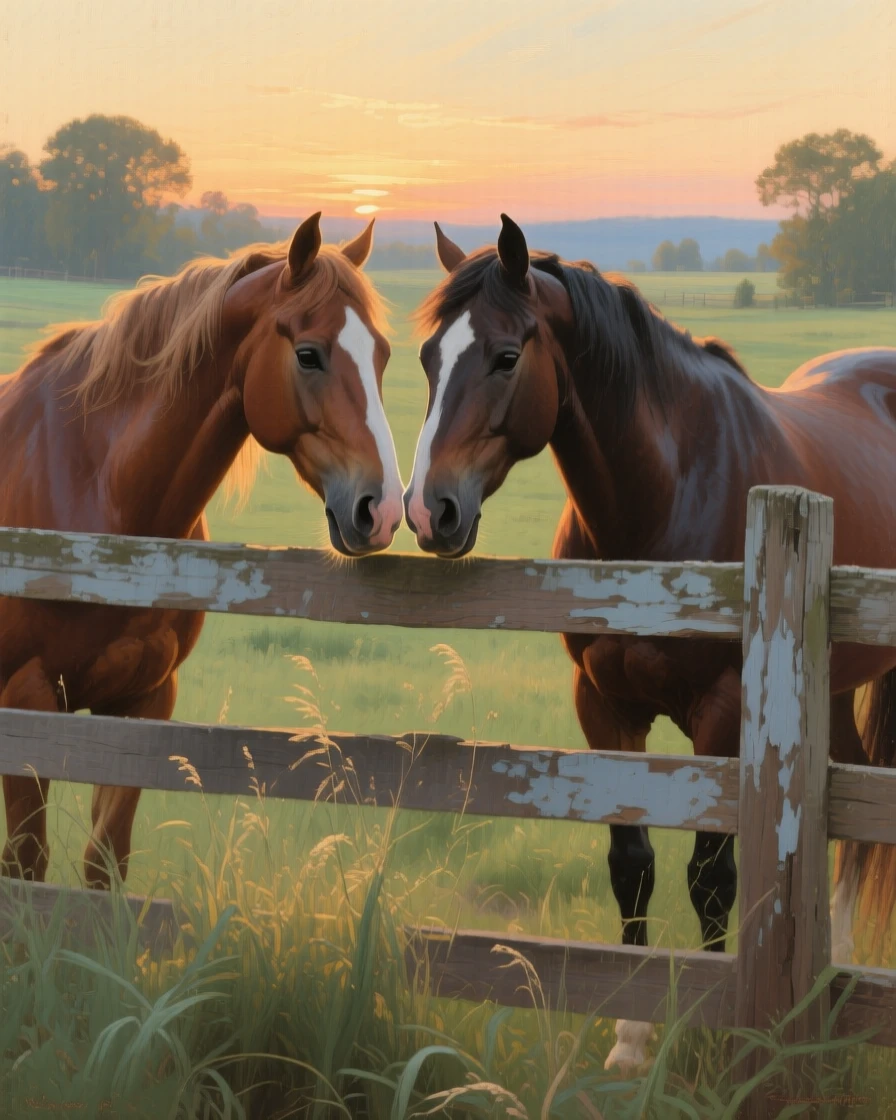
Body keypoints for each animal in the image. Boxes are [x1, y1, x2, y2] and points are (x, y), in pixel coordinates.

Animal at [0, 212, 403, 891]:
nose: (383, 509)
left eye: (382, 355)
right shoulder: (24, 701)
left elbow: (104, 863)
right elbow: (26, 865)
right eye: (308, 354)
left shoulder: (143, 701)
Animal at [403, 213, 896, 1069]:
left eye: (506, 356)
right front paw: (631, 1040)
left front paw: (715, 1030)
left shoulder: (724, 715)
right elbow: (631, 865)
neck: (668, 493)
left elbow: (712, 875)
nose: (431, 510)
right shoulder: (605, 706)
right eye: (431, 356)